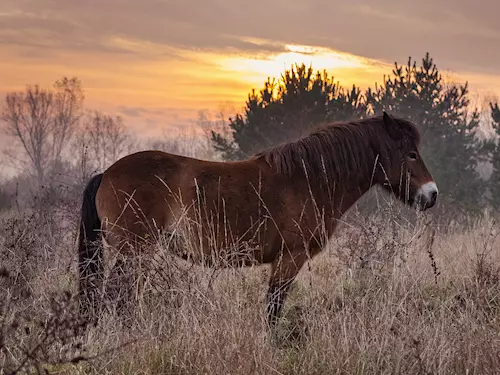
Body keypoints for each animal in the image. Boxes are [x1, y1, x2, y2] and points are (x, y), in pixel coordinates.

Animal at [77, 111, 438, 326]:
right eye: (410, 154)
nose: (432, 194)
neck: (308, 179)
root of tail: (107, 174)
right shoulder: (290, 258)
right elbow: (274, 307)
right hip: (134, 251)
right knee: (116, 295)